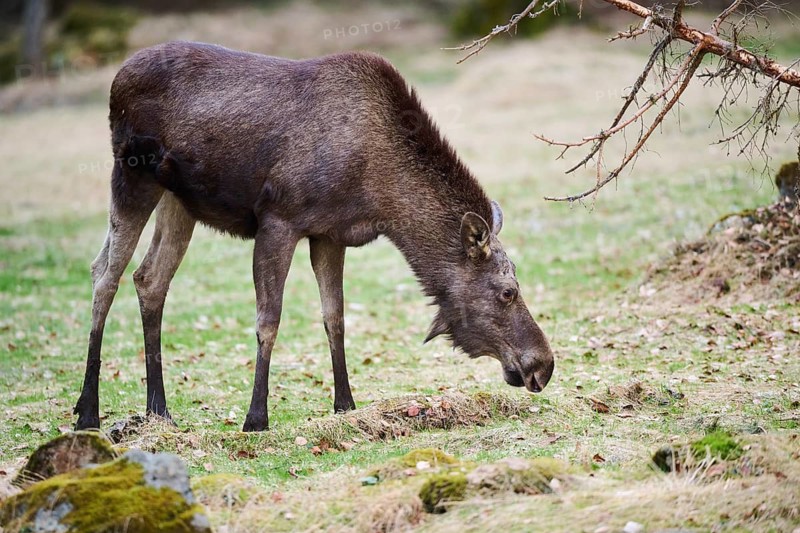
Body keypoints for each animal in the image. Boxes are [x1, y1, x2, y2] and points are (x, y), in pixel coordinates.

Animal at [73, 41, 555, 432]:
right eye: (508, 291)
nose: (544, 365)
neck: (378, 194)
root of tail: (117, 77)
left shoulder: (329, 233)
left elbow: (335, 317)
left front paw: (345, 404)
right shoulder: (278, 219)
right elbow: (269, 320)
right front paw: (256, 417)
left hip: (179, 200)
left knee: (149, 279)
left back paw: (158, 409)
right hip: (131, 174)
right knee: (105, 275)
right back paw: (88, 411)